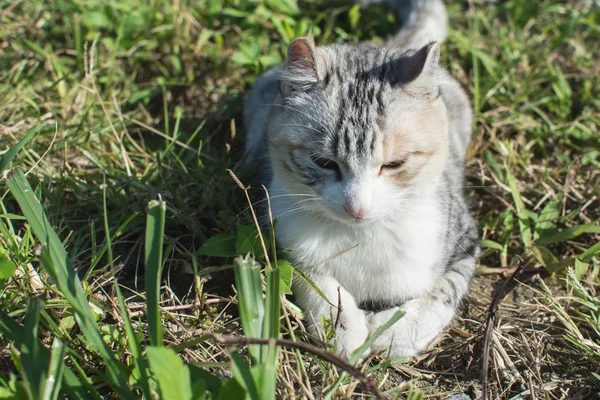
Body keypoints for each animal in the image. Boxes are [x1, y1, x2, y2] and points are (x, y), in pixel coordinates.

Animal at [241, 0, 480, 360]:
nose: (357, 208)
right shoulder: (280, 235)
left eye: (395, 163)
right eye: (323, 162)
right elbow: (311, 279)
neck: (363, 236)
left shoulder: (464, 240)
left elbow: (443, 292)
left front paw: (394, 332)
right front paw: (341, 327)